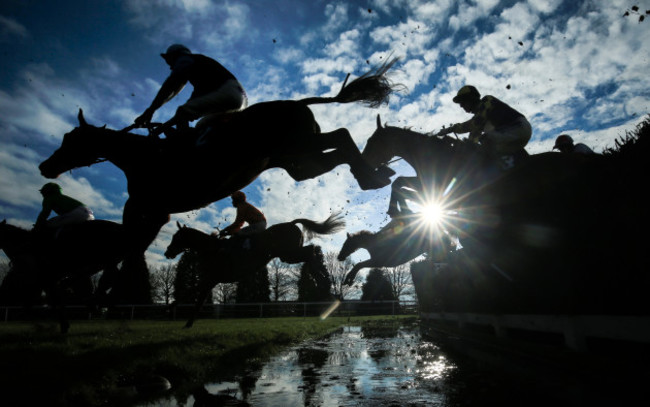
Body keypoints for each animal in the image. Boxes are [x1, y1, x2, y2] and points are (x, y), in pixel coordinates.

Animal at [36, 60, 400, 302]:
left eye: (71, 140)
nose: (45, 166)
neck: (145, 158)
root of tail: (297, 102)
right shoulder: (153, 211)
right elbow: (130, 247)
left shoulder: (149, 208)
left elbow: (129, 248)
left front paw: (104, 289)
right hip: (299, 162)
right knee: (338, 147)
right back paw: (373, 175)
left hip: (301, 147)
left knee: (342, 134)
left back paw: (372, 177)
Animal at [163, 214, 344, 328]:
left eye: (176, 237)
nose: (167, 252)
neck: (212, 249)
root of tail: (291, 223)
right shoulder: (211, 280)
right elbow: (198, 300)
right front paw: (187, 323)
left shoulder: (211, 278)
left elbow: (192, 292)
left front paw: (171, 308)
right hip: (289, 254)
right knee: (310, 253)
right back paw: (324, 282)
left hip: (288, 253)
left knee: (310, 252)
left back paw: (324, 281)